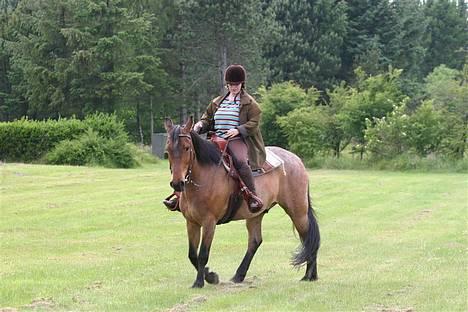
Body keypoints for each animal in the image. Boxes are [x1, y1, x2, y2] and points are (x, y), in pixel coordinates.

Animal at [163, 116, 320, 288]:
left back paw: (310, 275)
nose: (177, 183)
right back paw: (239, 275)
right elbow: (192, 255)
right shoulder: (191, 222)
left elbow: (203, 254)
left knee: (308, 237)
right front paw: (210, 275)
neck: (205, 176)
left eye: (186, 148)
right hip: (256, 214)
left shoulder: (209, 222)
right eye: (168, 150)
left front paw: (201, 281)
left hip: (298, 212)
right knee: (255, 241)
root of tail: (296, 159)